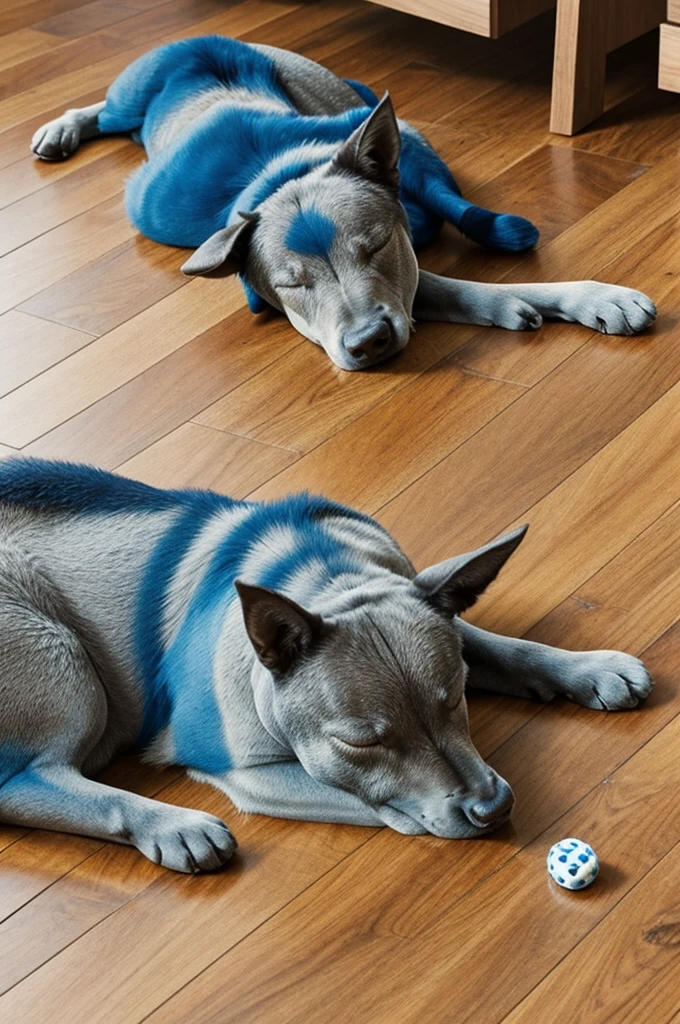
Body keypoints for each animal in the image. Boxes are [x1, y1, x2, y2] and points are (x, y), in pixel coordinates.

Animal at [0, 462, 651, 872]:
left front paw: (591, 668)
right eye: (361, 744)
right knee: (27, 781)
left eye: (456, 699)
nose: (491, 809)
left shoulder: (414, 594)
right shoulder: (249, 772)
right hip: (62, 656)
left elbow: (499, 645)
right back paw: (170, 826)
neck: (324, 578)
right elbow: (371, 801)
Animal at [33, 37, 659, 372]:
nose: (369, 343)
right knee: (103, 110)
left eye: (376, 246)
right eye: (291, 285)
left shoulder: (404, 220)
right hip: (131, 96)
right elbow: (453, 286)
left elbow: (463, 257)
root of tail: (195, 41)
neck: (285, 172)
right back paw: (61, 127)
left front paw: (589, 295)